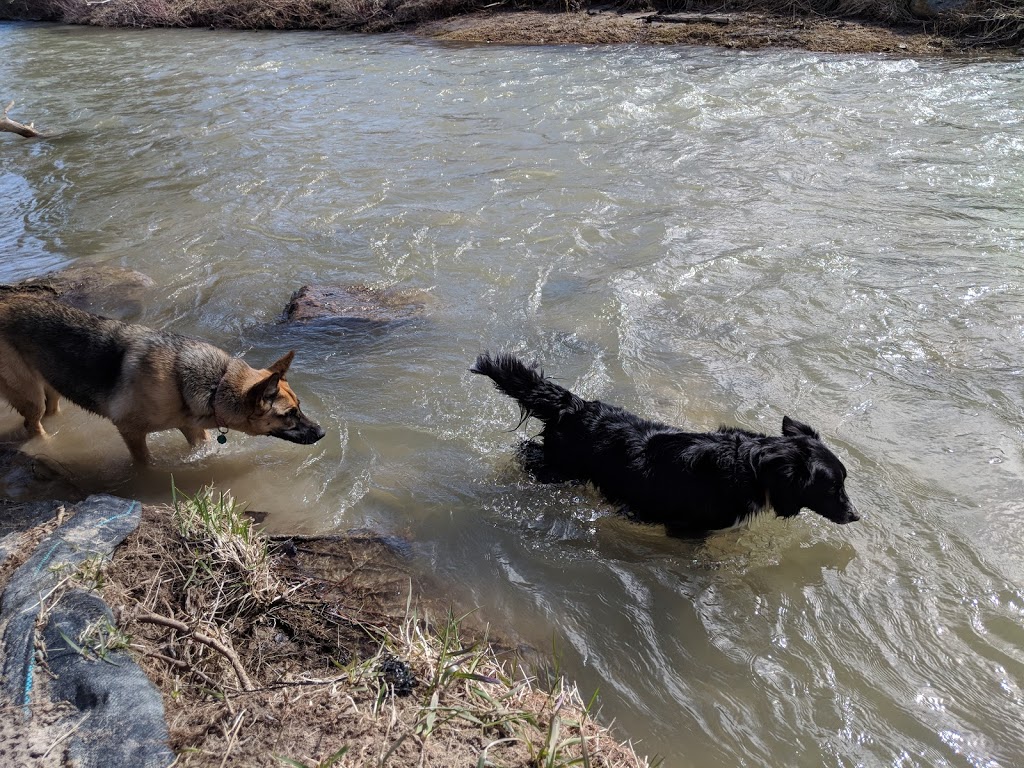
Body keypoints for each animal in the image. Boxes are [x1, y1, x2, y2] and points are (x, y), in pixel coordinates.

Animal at [0, 292, 323, 462]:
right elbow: (145, 463)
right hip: (30, 397)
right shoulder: (130, 430)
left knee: (50, 412)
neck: (216, 385)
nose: (322, 433)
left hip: (51, 387)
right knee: (32, 425)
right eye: (289, 414)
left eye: (299, 407)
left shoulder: (194, 430)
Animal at [471, 354, 856, 536]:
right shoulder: (687, 530)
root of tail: (575, 404)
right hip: (558, 468)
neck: (751, 465)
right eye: (832, 486)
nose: (856, 516)